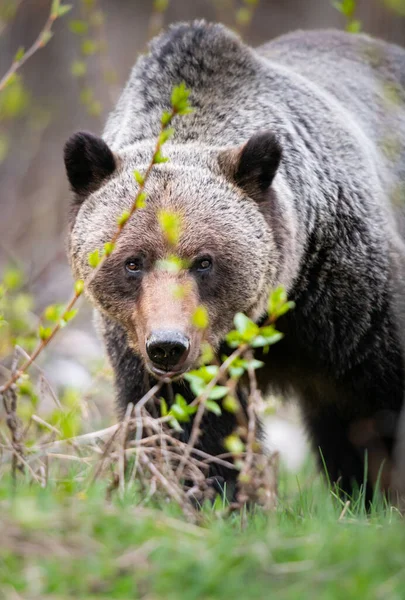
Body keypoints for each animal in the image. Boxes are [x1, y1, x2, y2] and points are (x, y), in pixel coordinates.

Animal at [63, 22, 404, 496]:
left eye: (204, 261)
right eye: (133, 261)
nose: (167, 345)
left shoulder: (350, 304)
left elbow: (377, 408)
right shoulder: (146, 349)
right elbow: (192, 427)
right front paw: (208, 492)